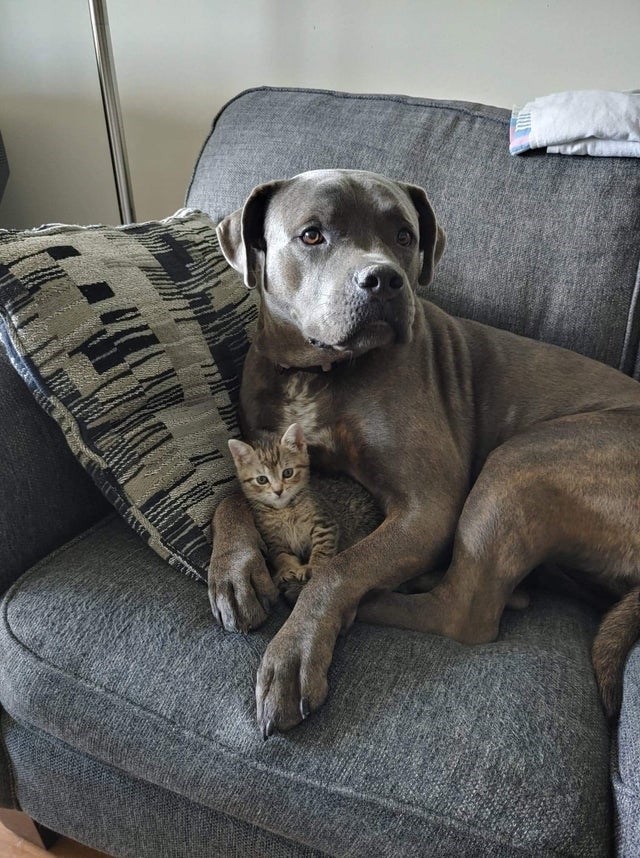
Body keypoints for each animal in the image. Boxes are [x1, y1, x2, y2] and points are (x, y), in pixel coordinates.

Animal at [228, 423, 339, 590]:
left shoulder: (324, 522)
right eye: (262, 480)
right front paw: (288, 570)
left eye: (288, 473)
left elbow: (322, 546)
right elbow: (282, 556)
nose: (278, 491)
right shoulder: (274, 540)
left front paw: (314, 567)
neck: (285, 510)